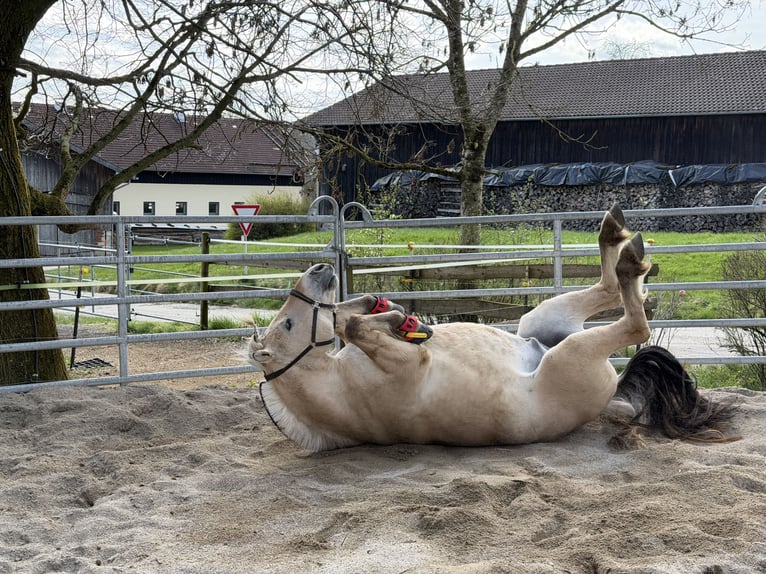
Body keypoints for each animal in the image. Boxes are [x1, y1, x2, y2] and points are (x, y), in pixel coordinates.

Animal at [247, 204, 737, 452]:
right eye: (288, 322)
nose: (320, 269)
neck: (339, 388)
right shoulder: (405, 364)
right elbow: (353, 326)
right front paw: (391, 319)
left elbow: (348, 318)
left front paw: (390, 311)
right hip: (571, 355)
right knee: (634, 323)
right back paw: (630, 255)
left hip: (540, 320)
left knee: (608, 287)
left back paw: (613, 231)